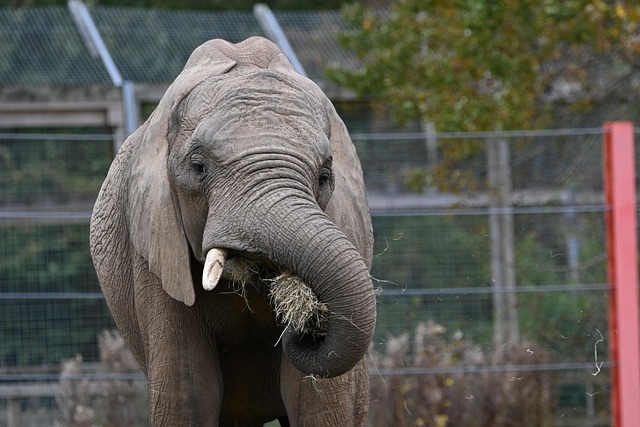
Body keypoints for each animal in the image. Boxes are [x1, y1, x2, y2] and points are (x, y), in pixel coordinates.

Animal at [89, 36, 376, 426]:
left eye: (324, 176)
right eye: (198, 167)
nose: (307, 328)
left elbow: (315, 400)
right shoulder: (153, 249)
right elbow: (189, 392)